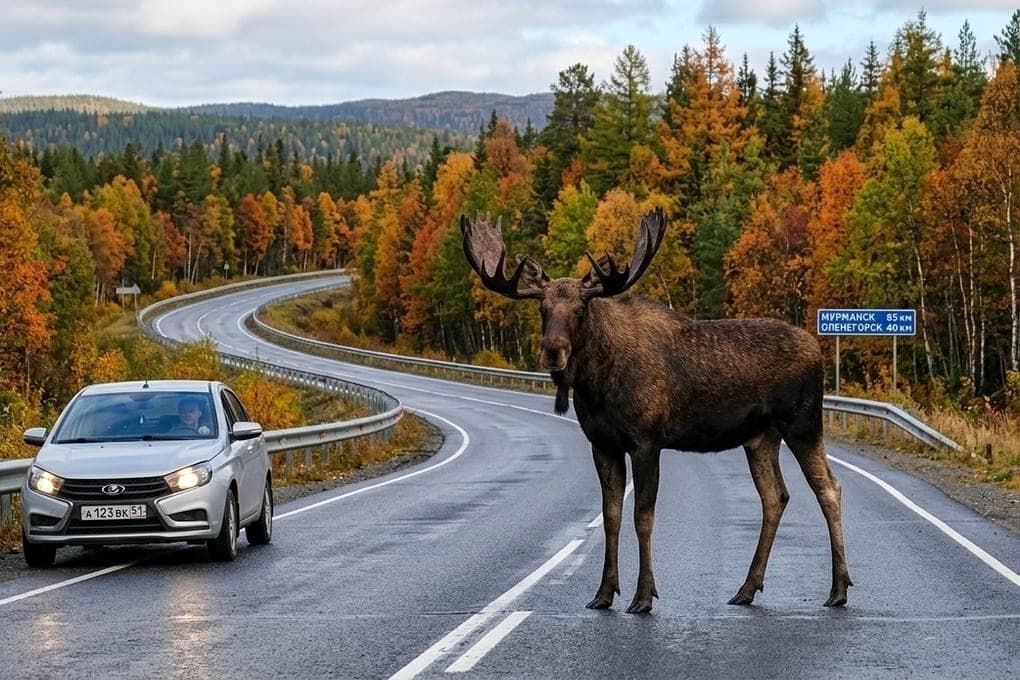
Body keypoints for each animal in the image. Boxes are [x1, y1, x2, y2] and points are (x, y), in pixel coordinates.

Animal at [460, 207, 852, 613]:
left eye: (582, 308)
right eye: (542, 308)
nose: (553, 351)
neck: (597, 387)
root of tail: (818, 352)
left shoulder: (646, 441)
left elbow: (642, 518)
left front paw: (643, 595)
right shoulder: (603, 444)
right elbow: (611, 517)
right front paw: (604, 593)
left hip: (803, 423)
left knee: (828, 487)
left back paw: (838, 589)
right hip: (760, 437)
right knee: (775, 496)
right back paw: (747, 588)